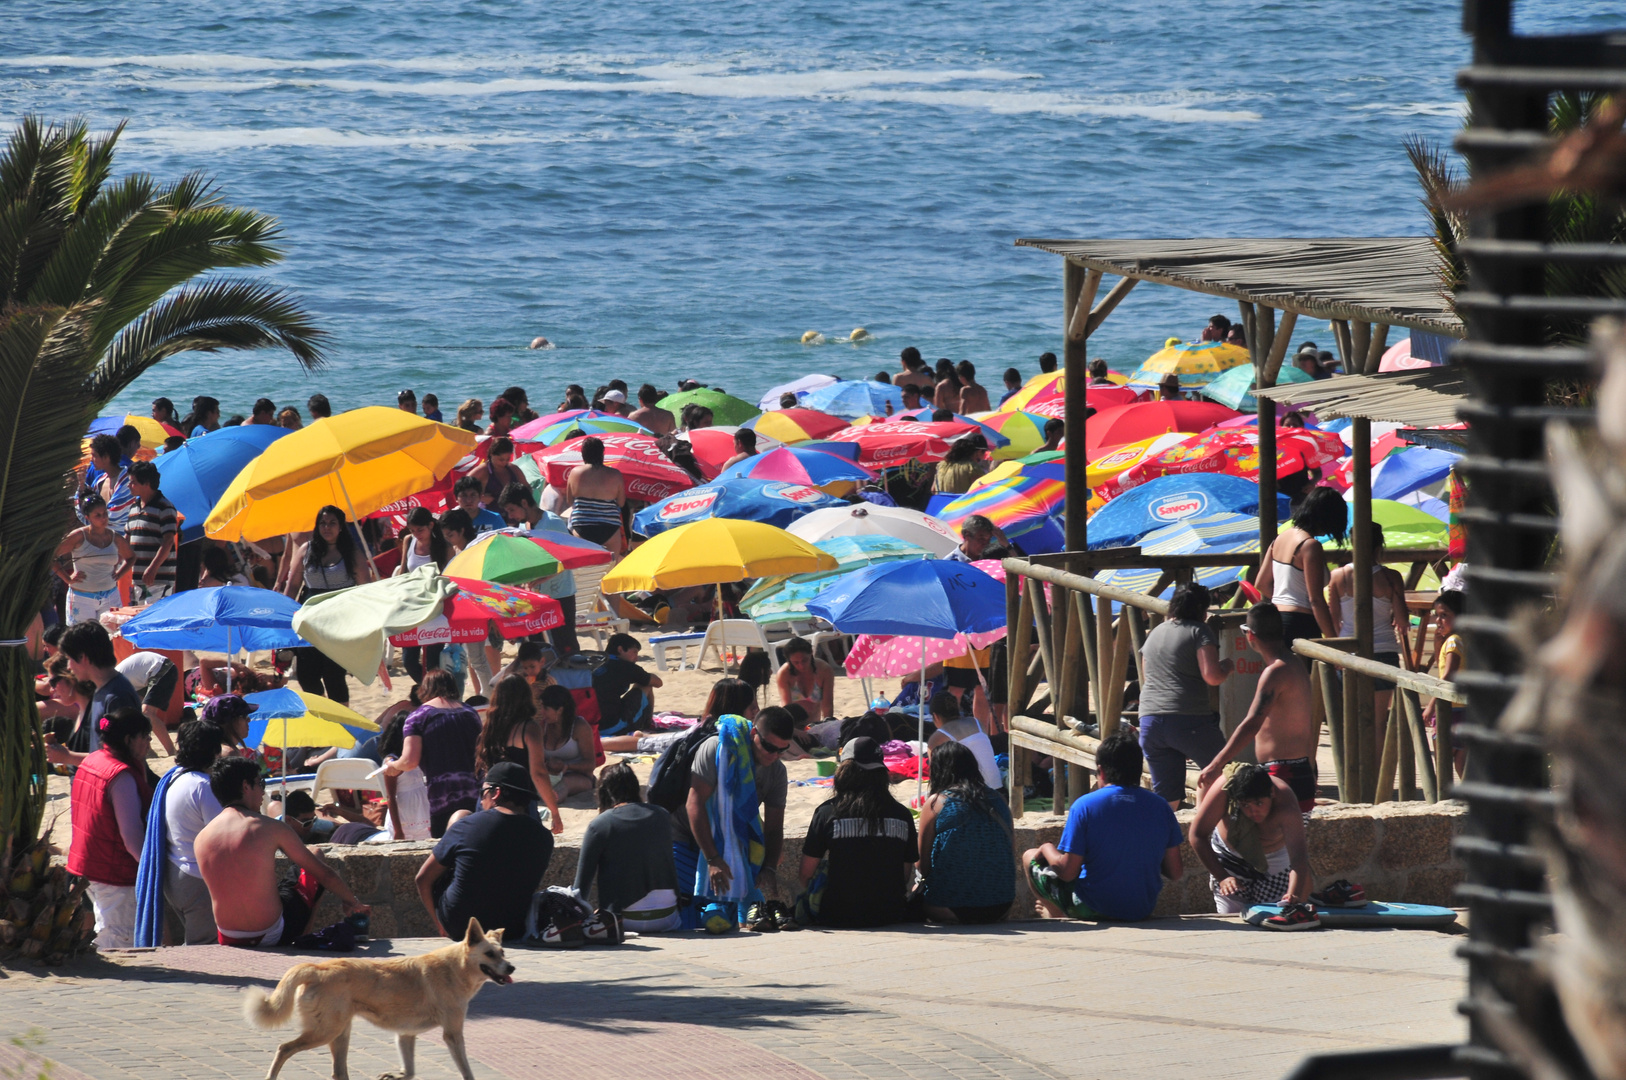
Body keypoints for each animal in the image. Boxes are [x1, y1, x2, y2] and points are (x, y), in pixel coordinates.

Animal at [240, 917, 513, 1080]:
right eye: (490, 954)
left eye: (503, 952)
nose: (511, 968)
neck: (455, 967)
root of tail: (317, 968)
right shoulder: (453, 1034)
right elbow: (466, 1071)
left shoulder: (405, 1034)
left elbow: (409, 1071)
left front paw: (396, 1075)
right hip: (326, 1031)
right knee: (284, 1049)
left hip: (340, 1033)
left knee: (338, 1073)